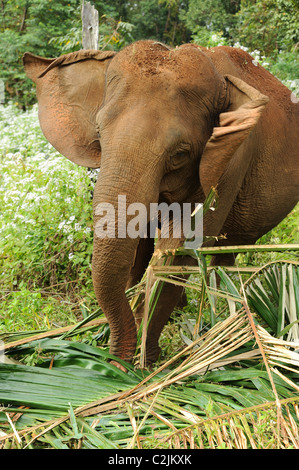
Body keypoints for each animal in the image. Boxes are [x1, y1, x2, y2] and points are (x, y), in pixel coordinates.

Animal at [24, 40, 299, 368]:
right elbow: (138, 250)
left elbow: (177, 252)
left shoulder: (231, 160)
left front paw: (144, 365)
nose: (111, 359)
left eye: (180, 154)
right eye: (100, 135)